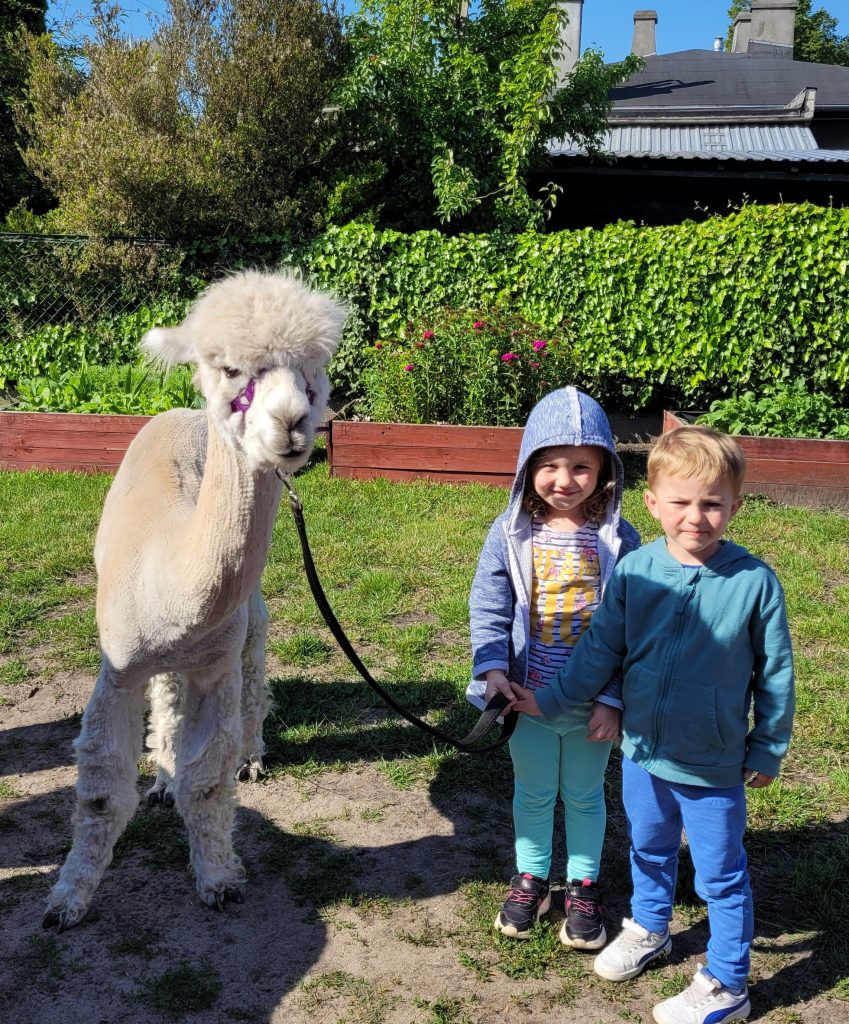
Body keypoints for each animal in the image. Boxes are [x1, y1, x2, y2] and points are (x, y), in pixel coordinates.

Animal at [43, 270, 345, 931]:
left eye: (315, 367)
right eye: (231, 369)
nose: (292, 423)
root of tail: (181, 414)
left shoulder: (214, 661)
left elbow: (208, 781)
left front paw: (217, 879)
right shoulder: (119, 664)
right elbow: (100, 791)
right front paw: (68, 898)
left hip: (247, 616)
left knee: (255, 664)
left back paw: (250, 756)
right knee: (167, 693)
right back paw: (160, 774)